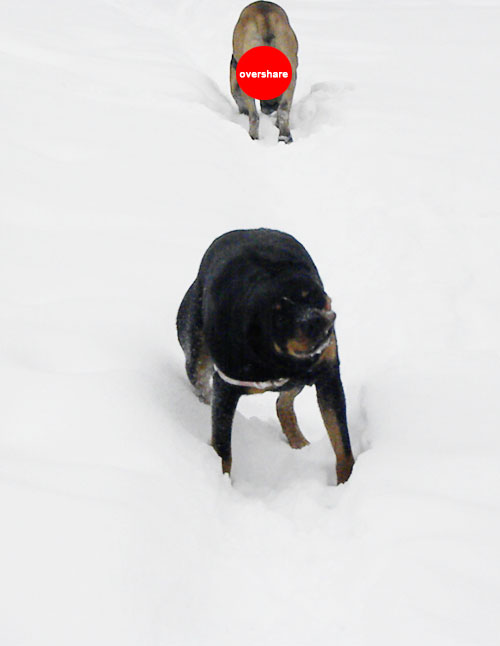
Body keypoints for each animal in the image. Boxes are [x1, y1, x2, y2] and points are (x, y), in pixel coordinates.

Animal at [178, 230, 354, 484]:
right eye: (279, 318)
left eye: (312, 296)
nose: (315, 321)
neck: (277, 357)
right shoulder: (226, 387)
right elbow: (223, 448)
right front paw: (223, 483)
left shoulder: (327, 376)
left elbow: (342, 446)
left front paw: (346, 483)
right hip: (196, 355)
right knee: (201, 385)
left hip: (300, 379)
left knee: (283, 403)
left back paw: (298, 441)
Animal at [232, 1, 298, 144]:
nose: (268, 108)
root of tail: (264, 20)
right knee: (283, 110)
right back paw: (284, 136)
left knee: (254, 116)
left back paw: (253, 136)